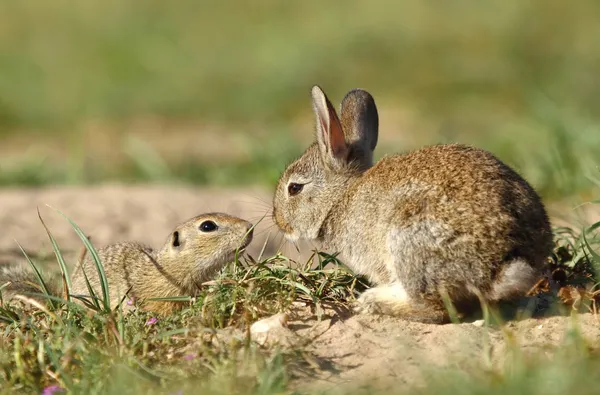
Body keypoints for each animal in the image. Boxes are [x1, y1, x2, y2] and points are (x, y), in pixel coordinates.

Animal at [272, 85, 552, 324]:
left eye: (294, 188)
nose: (278, 221)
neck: (341, 197)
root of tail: (501, 266)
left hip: (409, 244)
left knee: (437, 310)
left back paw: (372, 302)